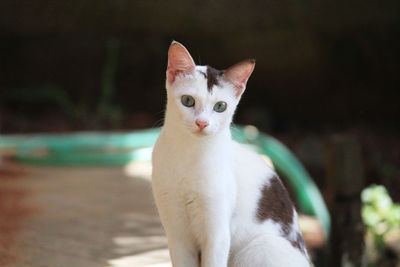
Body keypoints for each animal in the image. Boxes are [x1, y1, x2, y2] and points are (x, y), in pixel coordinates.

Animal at [152, 40, 310, 266]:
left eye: (220, 106)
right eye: (188, 101)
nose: (202, 123)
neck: (190, 153)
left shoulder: (217, 235)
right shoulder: (177, 236)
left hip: (258, 248)